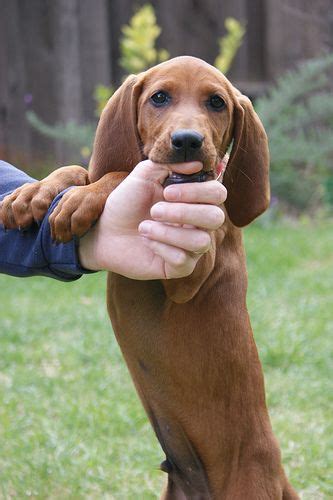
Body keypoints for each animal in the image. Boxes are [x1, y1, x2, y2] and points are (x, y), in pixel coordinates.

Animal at [0, 56, 298, 498]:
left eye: (217, 102)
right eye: (159, 97)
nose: (188, 141)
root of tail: (278, 475)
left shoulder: (190, 271)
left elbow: (121, 175)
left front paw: (82, 198)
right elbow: (90, 169)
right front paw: (36, 193)